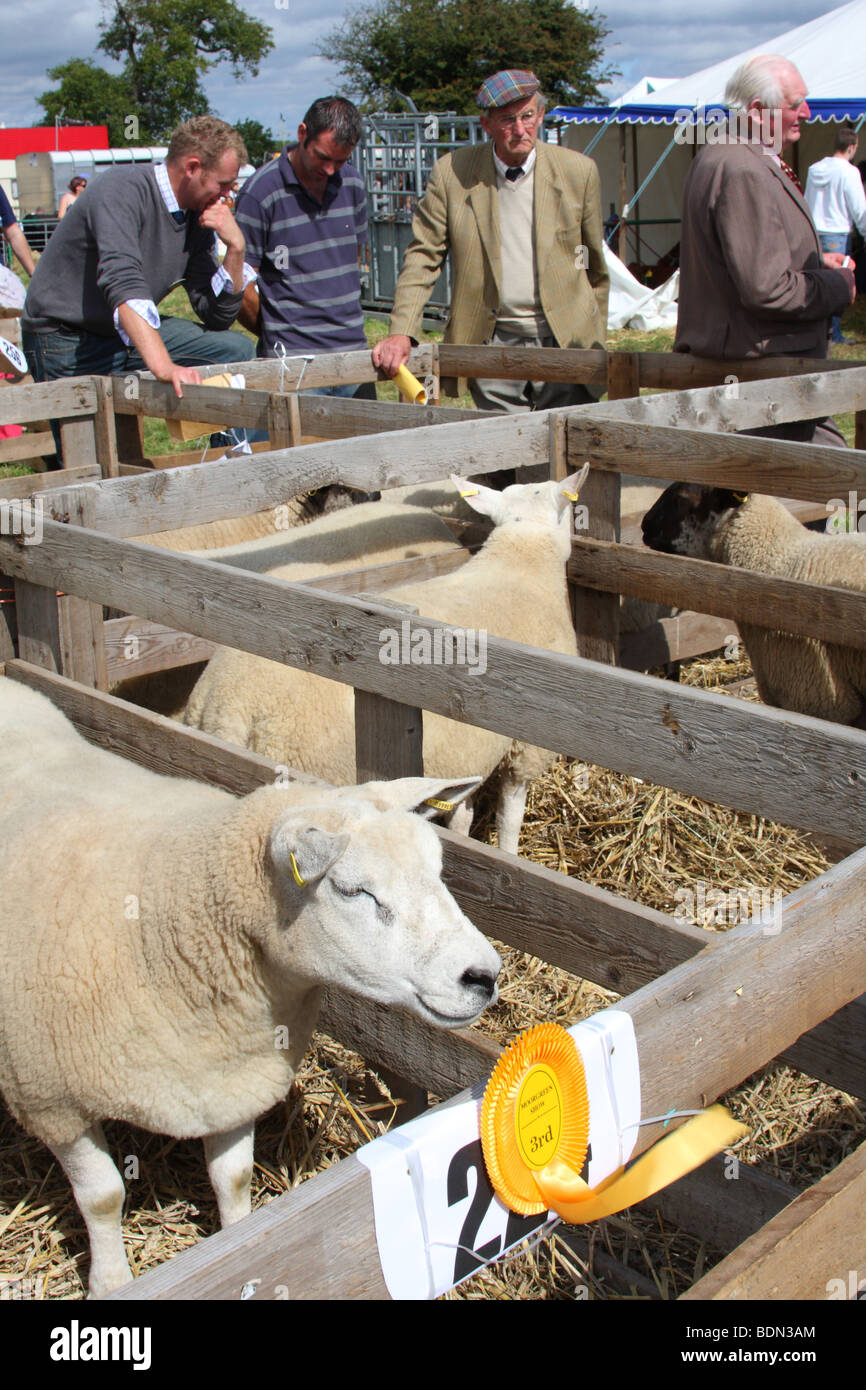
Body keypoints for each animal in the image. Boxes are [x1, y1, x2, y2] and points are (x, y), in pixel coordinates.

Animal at [0, 677, 501, 1297]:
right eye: (353, 891)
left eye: (436, 869)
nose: (484, 975)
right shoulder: (48, 1099)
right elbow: (103, 1197)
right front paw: (112, 1280)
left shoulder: (234, 1079)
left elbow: (233, 1180)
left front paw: (237, 1245)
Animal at [183, 467, 591, 856]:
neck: (522, 558)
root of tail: (228, 706)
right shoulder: (528, 747)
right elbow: (510, 818)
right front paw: (509, 854)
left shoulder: (469, 751)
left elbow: (463, 813)